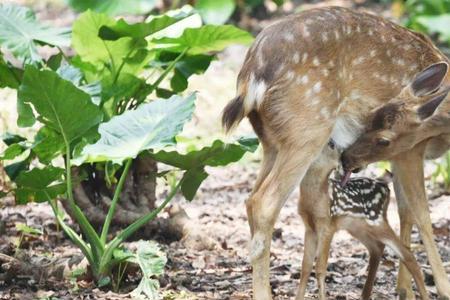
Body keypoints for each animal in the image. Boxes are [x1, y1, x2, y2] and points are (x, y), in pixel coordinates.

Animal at [221, 5, 450, 300]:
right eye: (381, 137)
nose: (348, 158)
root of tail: (251, 76)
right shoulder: (409, 150)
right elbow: (422, 214)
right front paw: (443, 287)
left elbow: (405, 212)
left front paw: (405, 289)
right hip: (307, 129)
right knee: (264, 203)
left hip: (272, 141)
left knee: (250, 199)